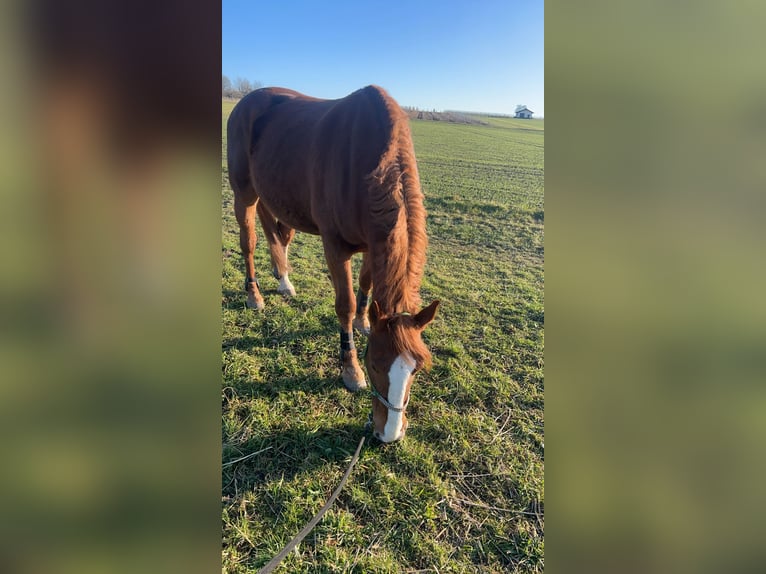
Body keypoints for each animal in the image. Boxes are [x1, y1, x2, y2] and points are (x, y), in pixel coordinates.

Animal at [226, 86, 438, 446]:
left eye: (418, 368)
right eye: (374, 364)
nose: (389, 434)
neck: (366, 161)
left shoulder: (371, 241)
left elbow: (366, 285)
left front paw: (365, 320)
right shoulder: (335, 247)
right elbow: (345, 305)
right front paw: (349, 369)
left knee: (277, 234)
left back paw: (284, 280)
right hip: (244, 193)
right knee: (249, 241)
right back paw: (254, 294)